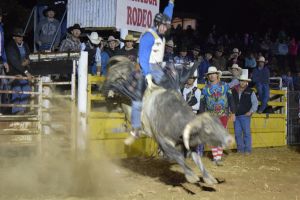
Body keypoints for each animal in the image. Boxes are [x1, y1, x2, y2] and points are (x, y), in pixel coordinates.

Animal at [103, 55, 232, 185]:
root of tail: (126, 62)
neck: (173, 117)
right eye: (207, 129)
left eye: (220, 124)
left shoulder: (189, 142)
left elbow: (197, 159)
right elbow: (178, 156)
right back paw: (109, 94)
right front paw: (191, 175)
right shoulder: (163, 142)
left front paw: (208, 177)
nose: (229, 139)